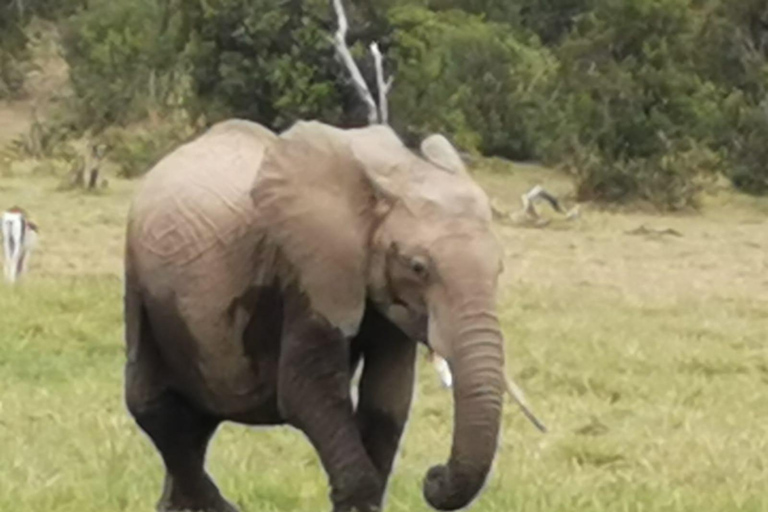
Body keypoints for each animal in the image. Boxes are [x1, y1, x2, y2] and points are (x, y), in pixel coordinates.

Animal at [124, 118, 510, 510]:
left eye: (499, 269)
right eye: (417, 268)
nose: (433, 476)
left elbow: (388, 400)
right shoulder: (306, 268)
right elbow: (307, 390)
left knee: (196, 421)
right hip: (140, 281)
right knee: (154, 408)